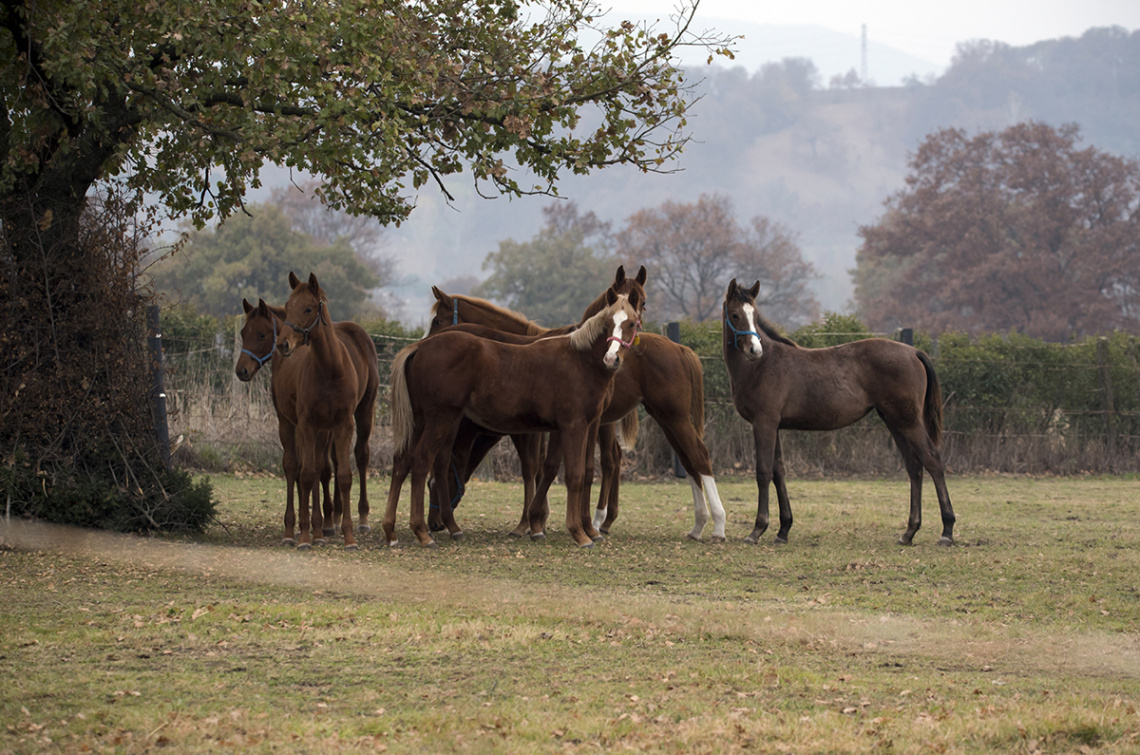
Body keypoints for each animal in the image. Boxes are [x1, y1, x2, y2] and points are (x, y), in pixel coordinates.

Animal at [233, 298, 380, 547]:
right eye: (243, 332)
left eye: (262, 334)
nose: (241, 370)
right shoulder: (294, 423)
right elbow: (300, 466)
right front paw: (303, 527)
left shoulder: (310, 426)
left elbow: (315, 468)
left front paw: (315, 526)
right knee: (333, 461)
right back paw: (335, 516)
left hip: (364, 410)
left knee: (361, 455)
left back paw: (360, 517)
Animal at [274, 272, 383, 549]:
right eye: (287, 306)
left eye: (308, 308)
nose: (282, 344)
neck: (331, 369)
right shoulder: (306, 425)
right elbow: (307, 474)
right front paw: (304, 536)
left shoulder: (344, 424)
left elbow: (343, 475)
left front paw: (349, 537)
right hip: (288, 423)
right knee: (294, 467)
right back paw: (294, 531)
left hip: (362, 413)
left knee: (357, 456)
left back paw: (350, 521)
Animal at [387, 287, 647, 547]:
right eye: (608, 323)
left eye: (631, 323)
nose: (611, 359)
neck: (580, 361)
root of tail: (420, 347)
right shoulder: (574, 426)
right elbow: (574, 475)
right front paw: (579, 533)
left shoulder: (571, 428)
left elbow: (562, 470)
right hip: (440, 419)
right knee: (421, 461)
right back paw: (422, 532)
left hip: (421, 422)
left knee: (402, 462)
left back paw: (393, 531)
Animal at [428, 265, 729, 545]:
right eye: (437, 321)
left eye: (643, 304)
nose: (434, 524)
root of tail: (681, 349)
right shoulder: (559, 426)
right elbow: (555, 468)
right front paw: (545, 521)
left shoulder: (551, 428)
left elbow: (544, 467)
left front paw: (534, 522)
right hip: (666, 418)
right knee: (682, 460)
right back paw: (691, 524)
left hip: (673, 417)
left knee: (697, 456)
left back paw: (715, 525)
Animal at [720, 277, 953, 545]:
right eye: (735, 315)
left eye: (755, 316)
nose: (755, 351)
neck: (761, 367)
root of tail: (913, 352)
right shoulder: (773, 426)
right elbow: (779, 472)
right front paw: (783, 530)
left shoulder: (764, 423)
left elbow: (763, 472)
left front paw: (757, 530)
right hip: (895, 421)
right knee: (914, 466)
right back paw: (909, 532)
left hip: (909, 421)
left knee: (932, 459)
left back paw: (947, 531)